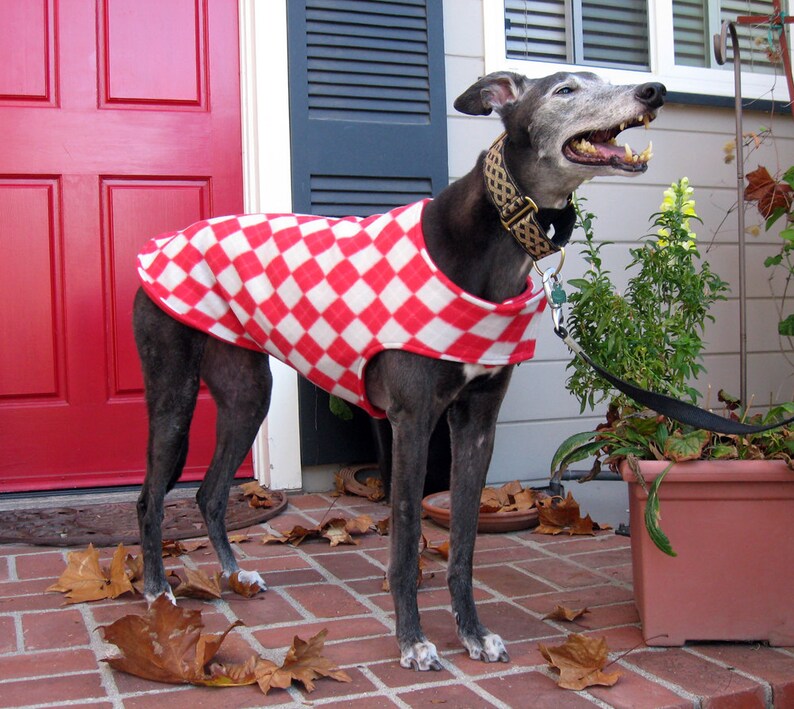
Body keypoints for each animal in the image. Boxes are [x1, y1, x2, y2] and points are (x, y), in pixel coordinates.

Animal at [135, 70, 664, 668]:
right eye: (566, 89)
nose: (653, 91)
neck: (488, 239)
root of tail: (163, 242)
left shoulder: (477, 424)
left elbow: (464, 544)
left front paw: (473, 633)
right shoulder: (411, 421)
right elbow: (407, 538)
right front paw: (412, 640)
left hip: (247, 395)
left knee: (209, 492)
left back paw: (234, 576)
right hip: (173, 393)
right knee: (150, 498)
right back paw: (158, 592)